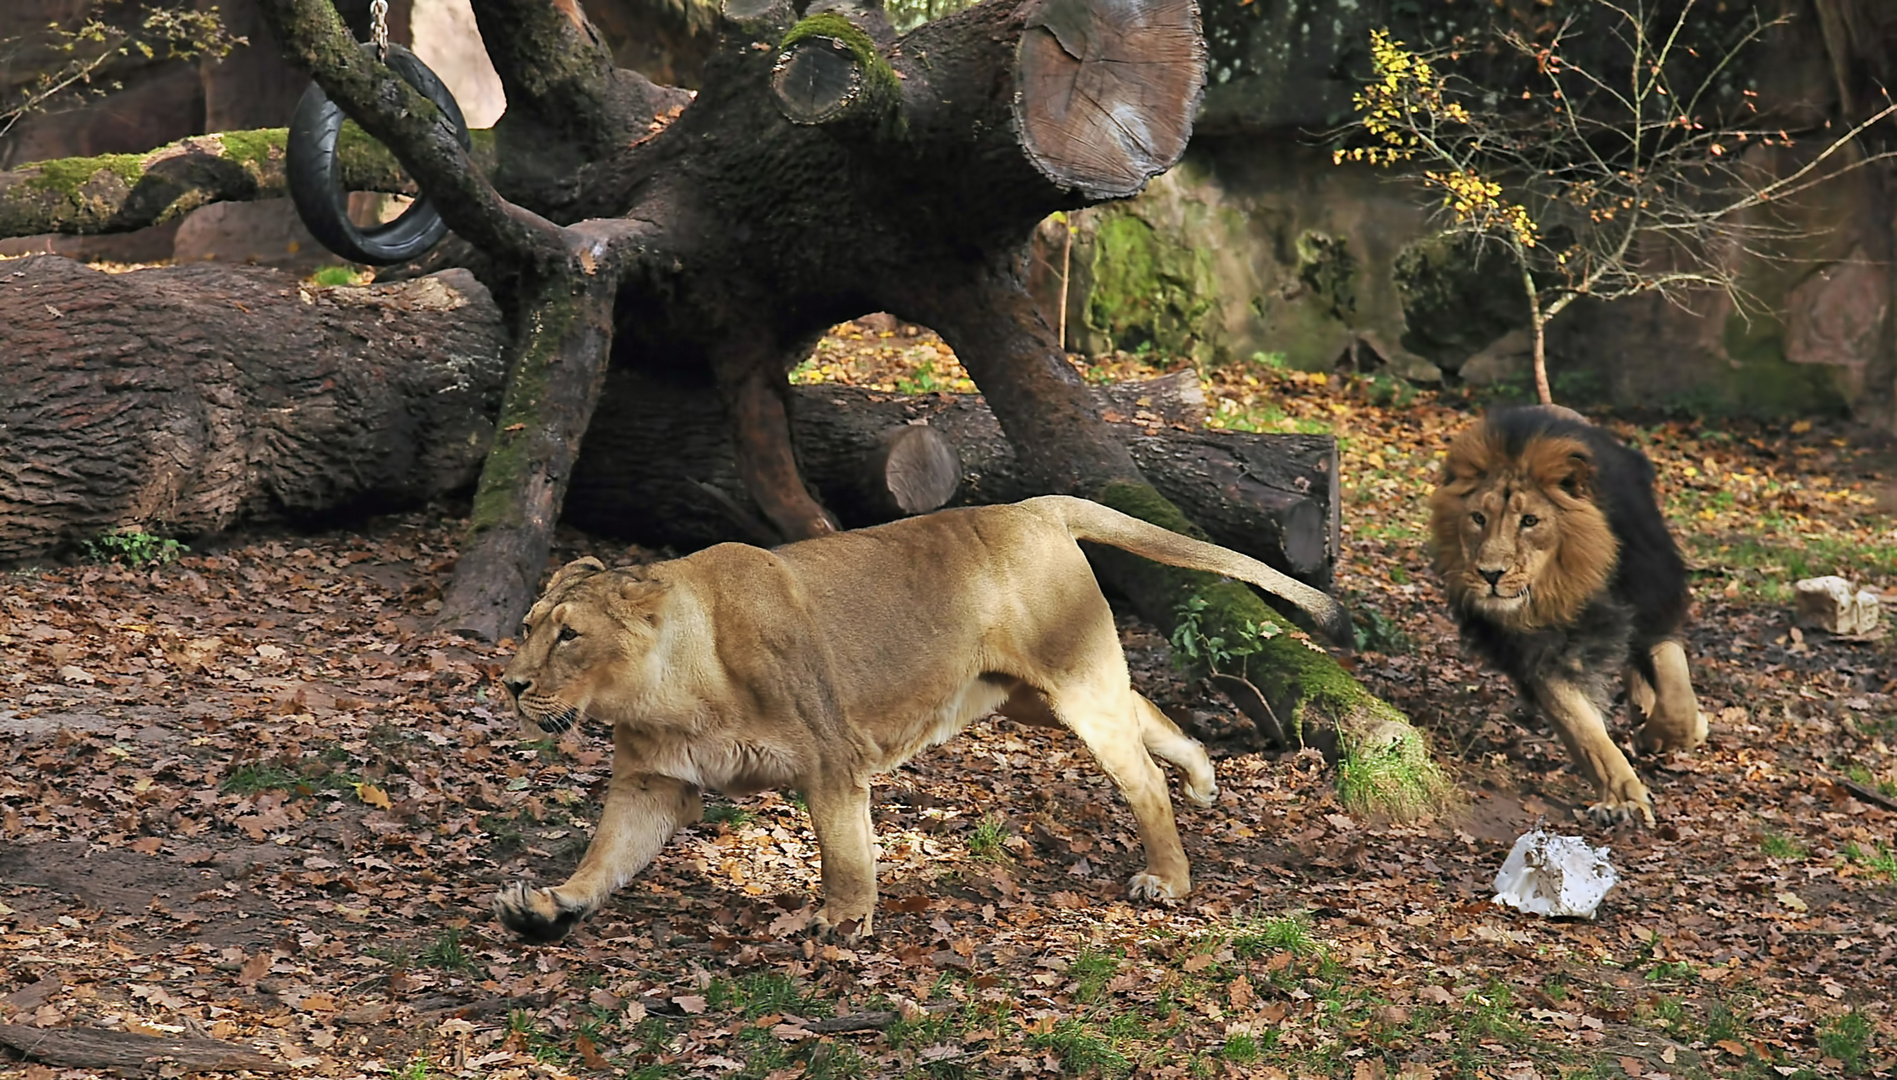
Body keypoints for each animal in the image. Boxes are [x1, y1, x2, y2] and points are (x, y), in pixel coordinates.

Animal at [489, 493, 1350, 937]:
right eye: (528, 625)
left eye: (569, 636)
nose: (511, 684)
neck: (667, 689)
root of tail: (1033, 504)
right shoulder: (652, 783)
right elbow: (605, 856)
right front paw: (549, 903)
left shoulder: (829, 759)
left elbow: (843, 853)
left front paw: (838, 925)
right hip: (1037, 698)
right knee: (1144, 709)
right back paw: (1202, 775)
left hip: (1071, 691)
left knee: (1140, 778)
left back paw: (1167, 878)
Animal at [1426, 406, 1714, 823]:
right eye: (1478, 518)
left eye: (1530, 521)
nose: (1490, 574)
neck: (1565, 584)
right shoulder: (1538, 654)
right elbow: (1584, 731)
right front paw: (1622, 798)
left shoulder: (1652, 602)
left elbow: (1677, 698)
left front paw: (1661, 735)